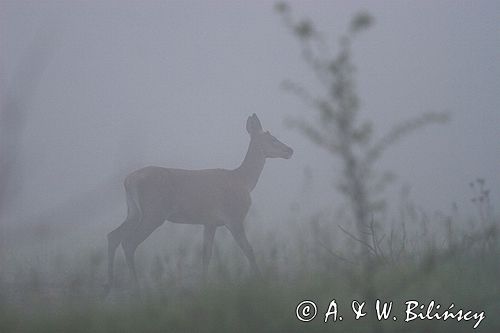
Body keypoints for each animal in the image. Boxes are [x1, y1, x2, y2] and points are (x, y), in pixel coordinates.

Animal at [104, 113, 292, 294]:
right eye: (272, 139)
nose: (290, 150)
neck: (244, 181)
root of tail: (128, 180)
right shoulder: (234, 217)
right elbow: (249, 250)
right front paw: (261, 281)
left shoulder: (210, 222)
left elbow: (206, 255)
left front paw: (204, 284)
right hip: (153, 213)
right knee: (129, 242)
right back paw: (137, 289)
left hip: (133, 211)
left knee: (113, 236)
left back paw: (109, 286)